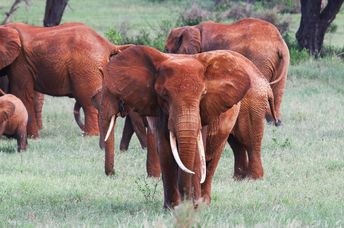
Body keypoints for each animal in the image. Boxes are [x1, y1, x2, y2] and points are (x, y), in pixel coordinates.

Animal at [92, 45, 258, 208]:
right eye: (164, 95)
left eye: (203, 94)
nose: (112, 174)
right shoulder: (158, 110)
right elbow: (165, 150)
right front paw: (172, 207)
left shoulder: (204, 111)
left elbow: (196, 152)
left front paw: (193, 206)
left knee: (212, 160)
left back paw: (204, 201)